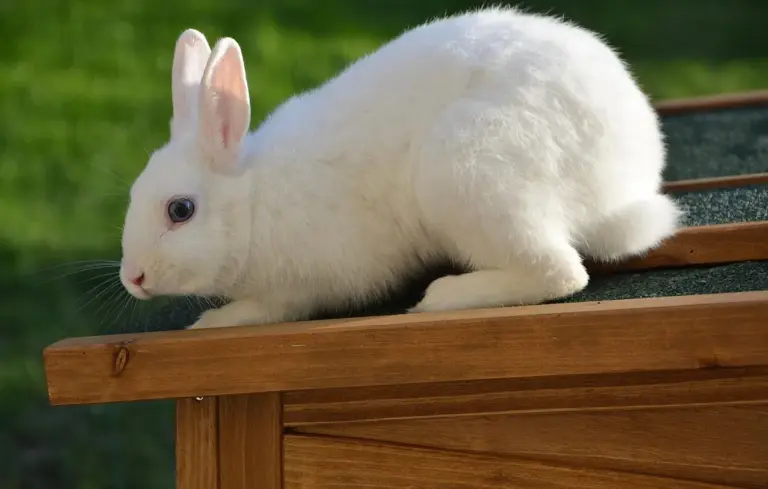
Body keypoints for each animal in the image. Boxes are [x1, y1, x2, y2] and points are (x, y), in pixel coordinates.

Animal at [119, 7, 682, 330]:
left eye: (180, 210)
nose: (133, 278)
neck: (255, 201)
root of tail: (620, 191)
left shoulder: (304, 284)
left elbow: (271, 310)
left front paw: (213, 321)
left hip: (470, 174)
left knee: (560, 272)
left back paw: (443, 298)